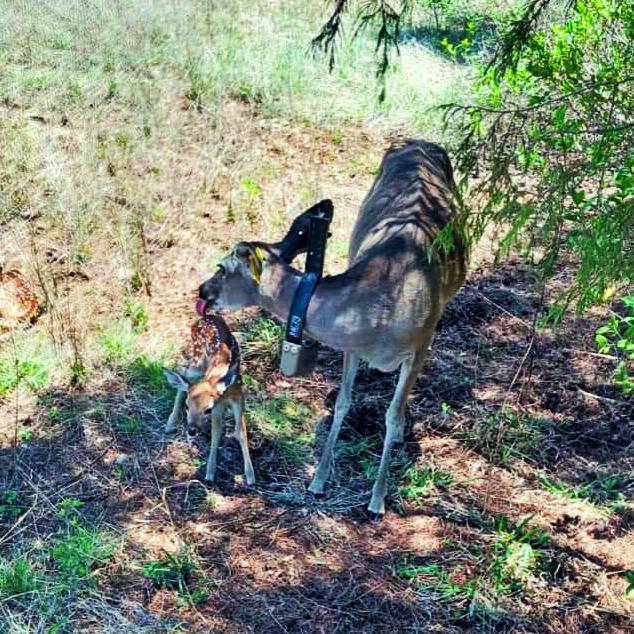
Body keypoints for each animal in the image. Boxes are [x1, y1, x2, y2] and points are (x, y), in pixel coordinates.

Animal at [198, 139, 464, 512]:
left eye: (221, 267)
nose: (201, 291)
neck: (380, 313)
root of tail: (418, 141)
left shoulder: (420, 343)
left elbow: (392, 415)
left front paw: (377, 498)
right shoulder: (352, 347)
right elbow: (342, 403)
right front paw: (318, 480)